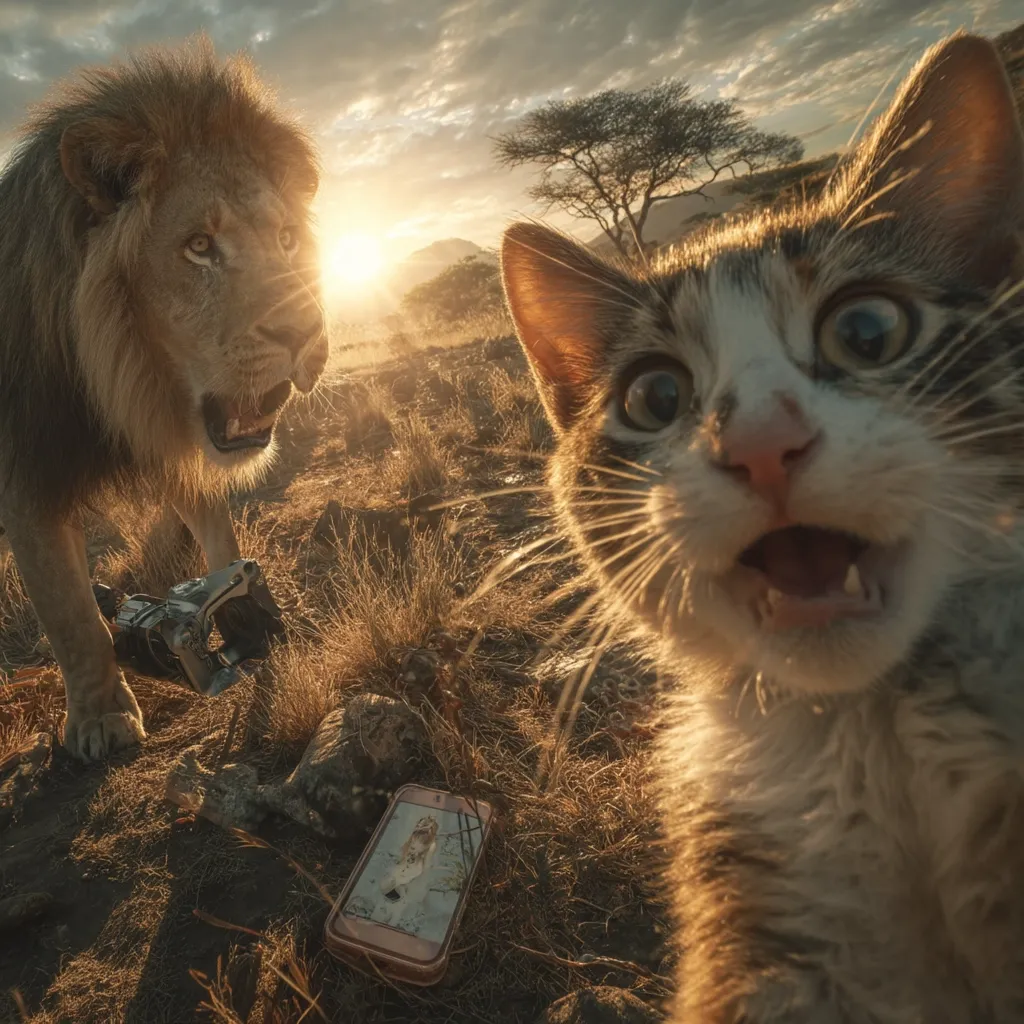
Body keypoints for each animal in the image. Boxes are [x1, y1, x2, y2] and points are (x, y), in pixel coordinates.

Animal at [0, 38, 328, 761]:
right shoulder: (27, 469)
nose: (305, 332)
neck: (121, 382)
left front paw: (251, 618)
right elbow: (70, 613)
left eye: (287, 239)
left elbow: (217, 531)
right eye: (199, 246)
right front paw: (102, 718)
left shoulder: (179, 441)